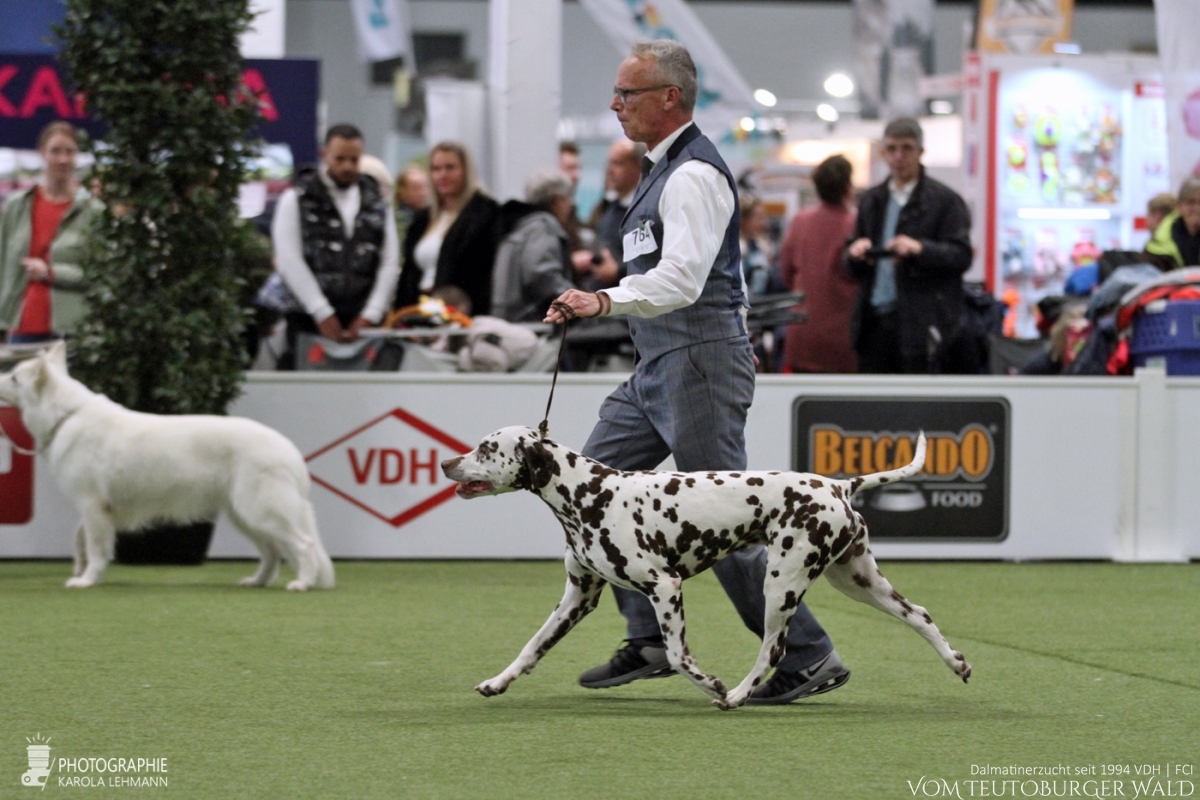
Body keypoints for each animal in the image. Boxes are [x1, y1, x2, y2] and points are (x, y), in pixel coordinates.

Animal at [0, 340, 333, 592]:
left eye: (14, 378)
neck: (66, 414)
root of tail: (289, 450)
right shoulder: (93, 510)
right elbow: (80, 538)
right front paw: (83, 571)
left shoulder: (93, 506)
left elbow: (95, 547)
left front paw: (87, 580)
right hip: (246, 516)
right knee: (273, 552)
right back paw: (257, 582)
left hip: (261, 510)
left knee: (303, 544)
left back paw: (302, 584)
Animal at [446, 429, 969, 710]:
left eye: (486, 448)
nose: (449, 462)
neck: (589, 495)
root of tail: (839, 485)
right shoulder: (578, 596)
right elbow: (531, 647)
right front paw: (497, 682)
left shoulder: (665, 587)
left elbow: (678, 657)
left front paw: (710, 683)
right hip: (858, 581)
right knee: (920, 615)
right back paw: (956, 662)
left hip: (781, 585)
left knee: (773, 649)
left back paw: (735, 696)